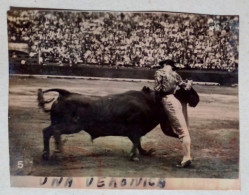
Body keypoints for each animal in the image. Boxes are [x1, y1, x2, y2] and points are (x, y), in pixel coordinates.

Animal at [37, 84, 198, 161]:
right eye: (185, 89)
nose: (197, 99)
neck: (150, 100)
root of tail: (65, 94)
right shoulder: (134, 126)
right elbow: (136, 141)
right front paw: (134, 156)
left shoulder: (135, 130)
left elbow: (138, 142)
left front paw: (144, 152)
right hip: (72, 126)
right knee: (53, 131)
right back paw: (58, 151)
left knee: (47, 131)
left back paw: (47, 154)